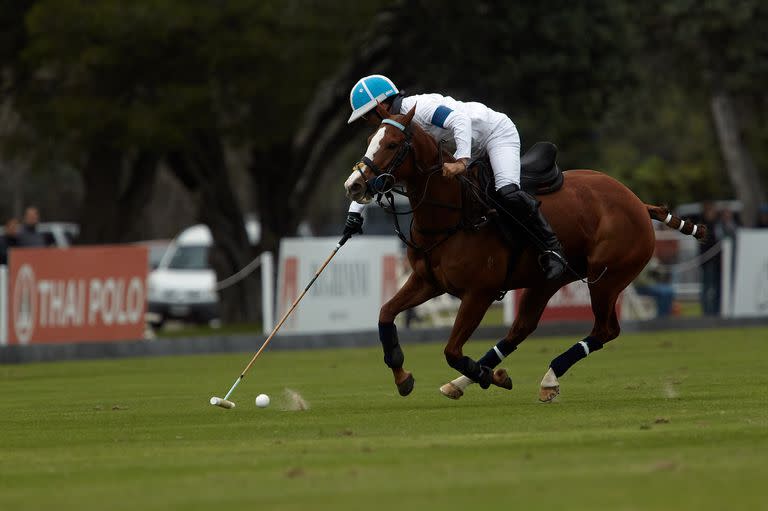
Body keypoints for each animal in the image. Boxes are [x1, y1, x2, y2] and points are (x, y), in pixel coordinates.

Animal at [344, 104, 704, 402]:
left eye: (392, 144)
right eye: (370, 139)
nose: (354, 186)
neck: (453, 213)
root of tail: (638, 202)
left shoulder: (480, 292)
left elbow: (451, 351)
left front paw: (491, 376)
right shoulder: (427, 282)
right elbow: (386, 314)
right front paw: (403, 376)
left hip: (608, 277)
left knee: (605, 330)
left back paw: (548, 378)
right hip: (546, 282)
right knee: (522, 328)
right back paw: (462, 384)